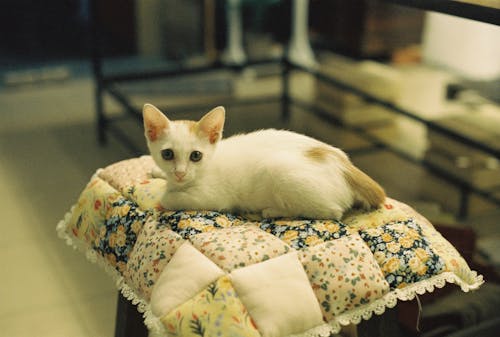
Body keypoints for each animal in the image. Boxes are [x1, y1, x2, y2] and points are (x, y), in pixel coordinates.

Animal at [143, 103, 384, 219]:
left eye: (196, 156)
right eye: (167, 154)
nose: (180, 173)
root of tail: (345, 165)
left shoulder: (214, 197)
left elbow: (170, 198)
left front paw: (164, 197)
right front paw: (158, 173)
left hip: (279, 170)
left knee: (332, 212)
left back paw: (274, 211)